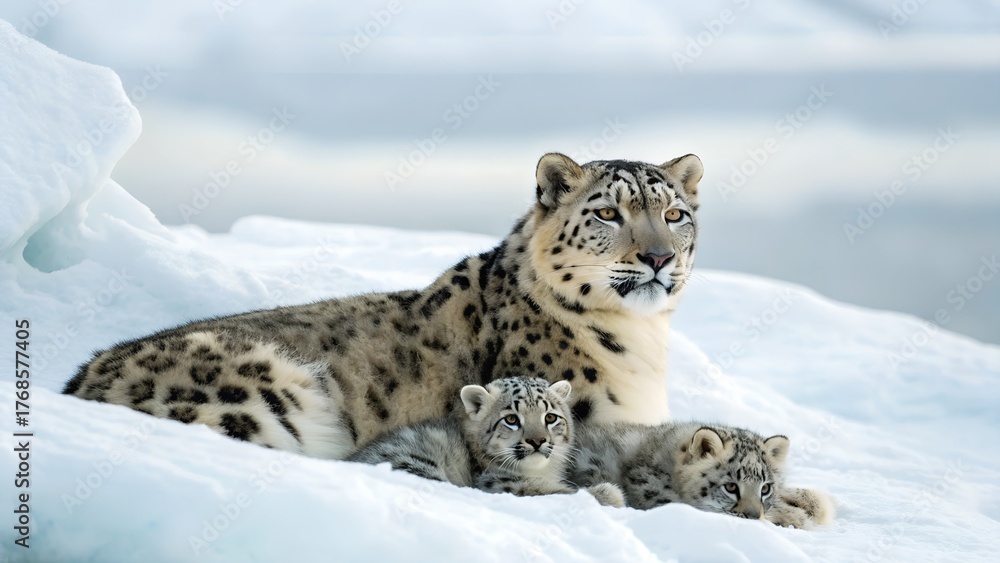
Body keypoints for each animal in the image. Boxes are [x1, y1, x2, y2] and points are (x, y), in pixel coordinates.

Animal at [348, 376, 624, 507]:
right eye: (511, 418)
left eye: (550, 416)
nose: (537, 441)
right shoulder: (501, 482)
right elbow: (553, 492)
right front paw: (610, 494)